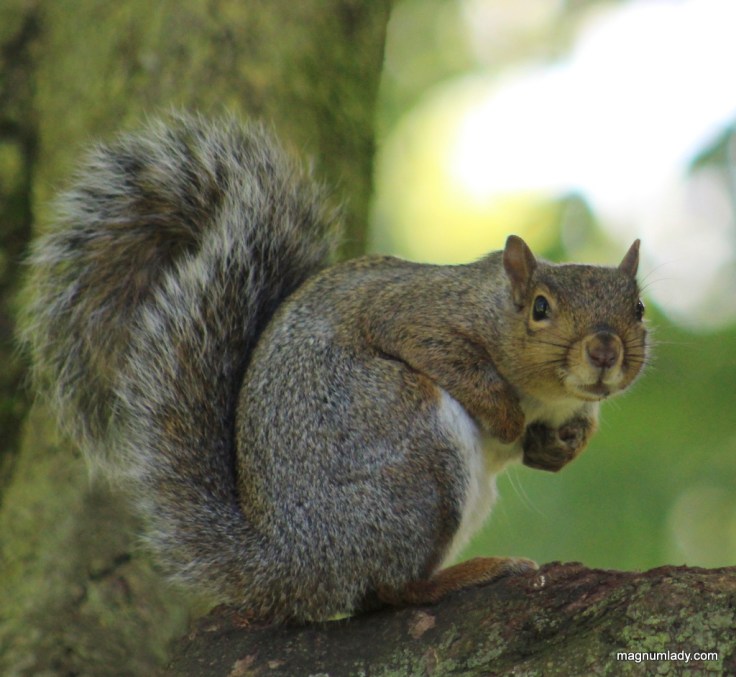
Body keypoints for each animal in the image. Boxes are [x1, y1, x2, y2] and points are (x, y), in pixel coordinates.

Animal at [20, 112, 648, 623]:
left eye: (638, 308)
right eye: (540, 308)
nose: (604, 350)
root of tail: (293, 565)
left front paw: (562, 446)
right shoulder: (416, 316)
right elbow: (448, 360)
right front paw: (511, 421)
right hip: (419, 458)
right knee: (388, 590)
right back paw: (465, 575)